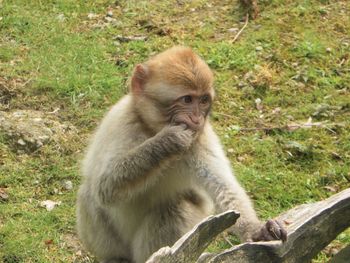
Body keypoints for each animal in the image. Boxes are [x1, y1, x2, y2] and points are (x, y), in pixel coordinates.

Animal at [76, 46, 284, 262]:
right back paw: (116, 258)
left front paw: (256, 230)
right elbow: (105, 187)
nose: (197, 119)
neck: (152, 129)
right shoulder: (122, 122)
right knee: (90, 193)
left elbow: (223, 188)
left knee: (174, 207)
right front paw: (169, 141)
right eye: (187, 99)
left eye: (203, 100)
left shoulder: (201, 138)